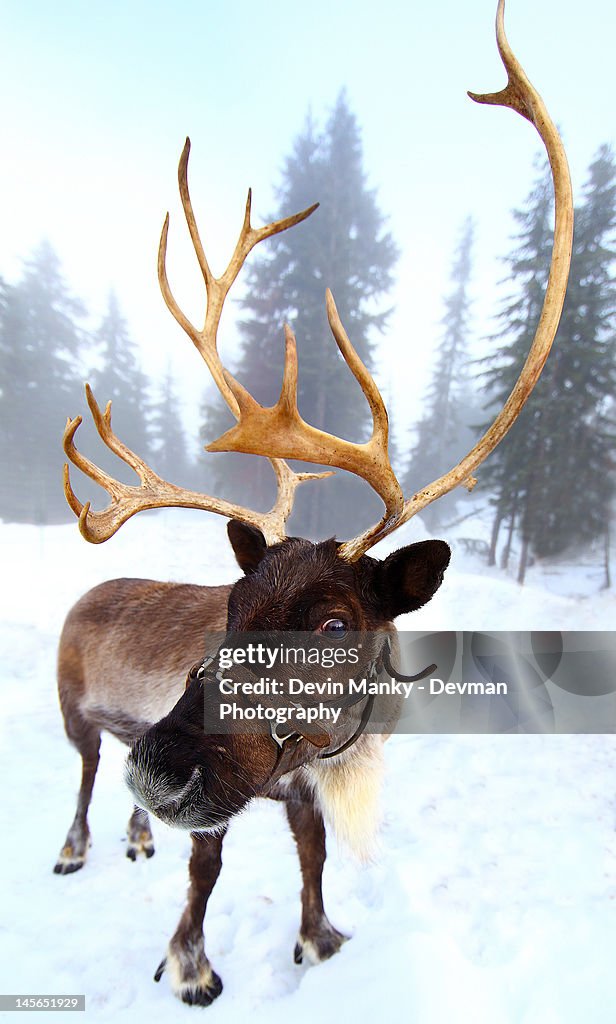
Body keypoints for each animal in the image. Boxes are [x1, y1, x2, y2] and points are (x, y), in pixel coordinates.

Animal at [54, 0, 573, 1007]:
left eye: (335, 623)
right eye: (231, 604)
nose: (161, 772)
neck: (339, 747)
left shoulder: (300, 783)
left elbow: (314, 856)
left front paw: (321, 939)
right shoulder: (226, 794)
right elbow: (206, 871)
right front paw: (191, 965)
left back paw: (133, 834)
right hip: (77, 718)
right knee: (87, 775)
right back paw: (85, 840)